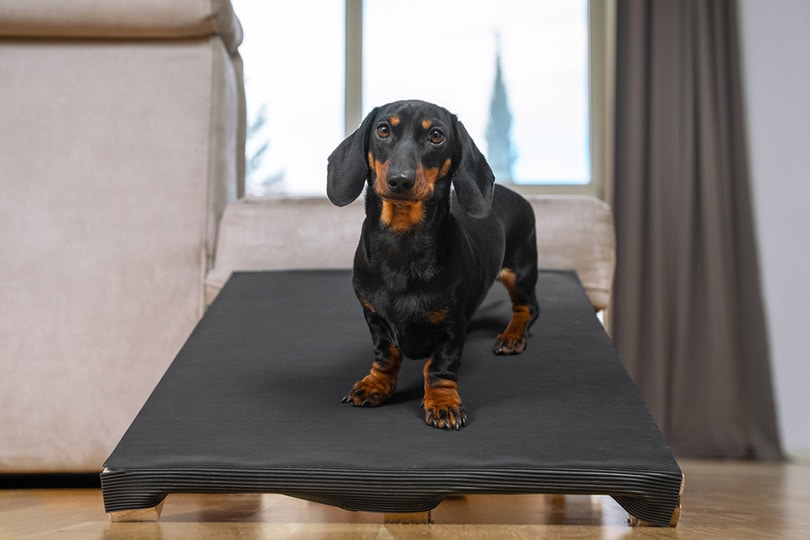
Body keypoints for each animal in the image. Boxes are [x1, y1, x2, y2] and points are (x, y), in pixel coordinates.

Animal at [322, 100, 536, 430]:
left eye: (436, 135)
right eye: (382, 130)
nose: (400, 180)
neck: (402, 239)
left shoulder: (451, 328)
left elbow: (439, 367)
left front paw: (443, 403)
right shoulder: (374, 318)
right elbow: (386, 356)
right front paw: (375, 385)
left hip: (520, 272)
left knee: (527, 309)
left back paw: (512, 337)